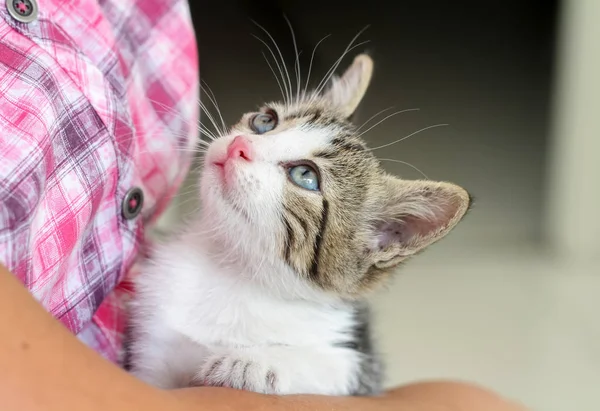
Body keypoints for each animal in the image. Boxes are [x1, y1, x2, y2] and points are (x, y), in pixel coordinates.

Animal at [127, 54, 474, 396]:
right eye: (265, 121)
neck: (231, 266)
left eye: (306, 176)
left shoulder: (362, 368)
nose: (238, 144)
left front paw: (253, 362)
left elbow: (331, 364)